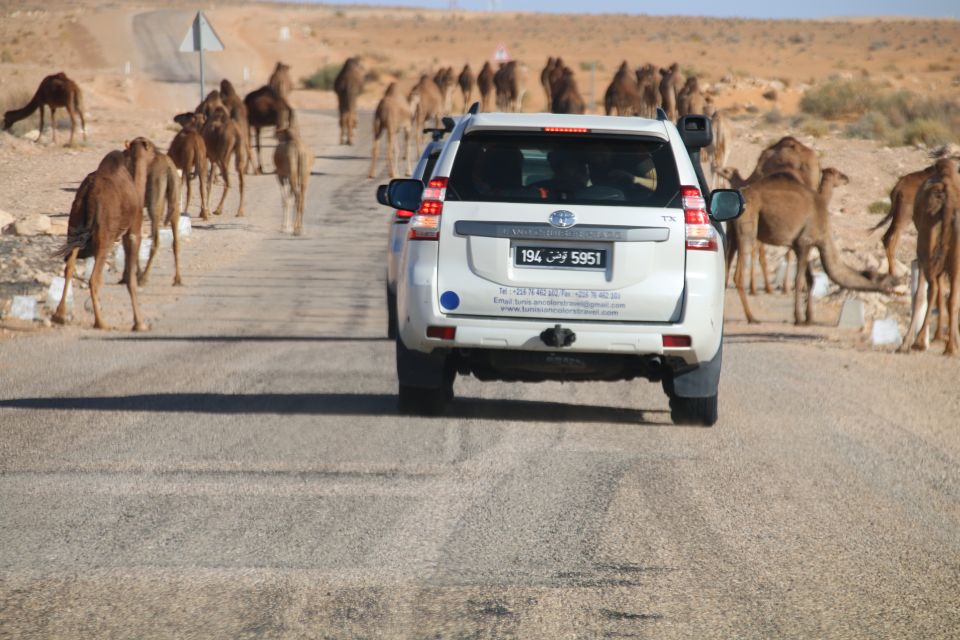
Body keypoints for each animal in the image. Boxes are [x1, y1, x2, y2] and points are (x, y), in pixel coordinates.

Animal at [53, 139, 155, 330]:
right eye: (152, 149)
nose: (158, 154)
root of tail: (89, 193)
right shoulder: (133, 229)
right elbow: (131, 279)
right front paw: (139, 323)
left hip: (74, 226)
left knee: (69, 267)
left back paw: (60, 315)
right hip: (104, 236)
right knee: (94, 278)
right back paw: (101, 322)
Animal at [736, 169, 892, 324]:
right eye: (880, 277)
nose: (891, 288)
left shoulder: (802, 246)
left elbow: (810, 280)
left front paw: (809, 317)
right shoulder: (804, 242)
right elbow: (799, 281)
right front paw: (798, 318)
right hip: (749, 228)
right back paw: (753, 312)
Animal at [900, 157, 960, 352]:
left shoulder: (924, 257)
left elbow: (919, 295)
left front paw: (906, 341)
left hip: (926, 247)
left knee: (930, 290)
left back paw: (917, 342)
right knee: (952, 298)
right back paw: (950, 348)